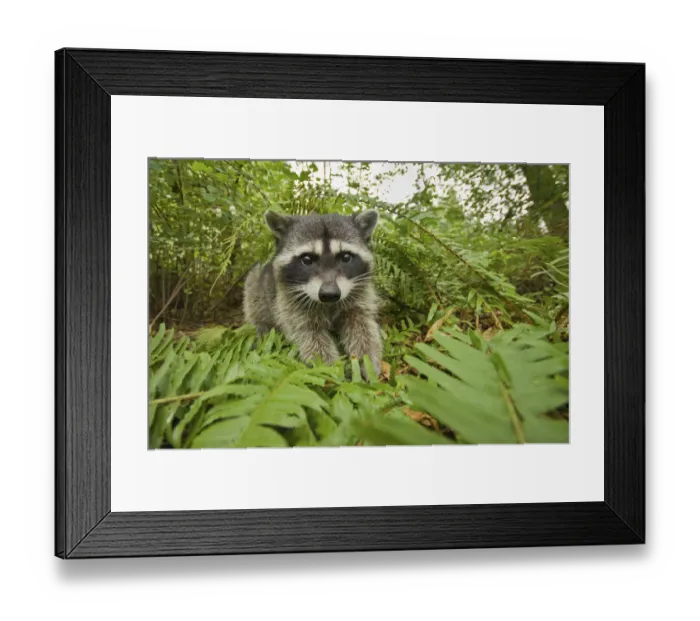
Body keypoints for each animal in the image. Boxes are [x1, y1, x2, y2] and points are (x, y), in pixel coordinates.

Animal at [243, 210, 383, 376]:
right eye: (307, 259)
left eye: (346, 257)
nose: (330, 294)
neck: (329, 305)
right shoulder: (288, 302)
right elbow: (309, 335)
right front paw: (330, 370)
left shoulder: (359, 294)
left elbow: (362, 325)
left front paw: (368, 361)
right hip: (255, 284)